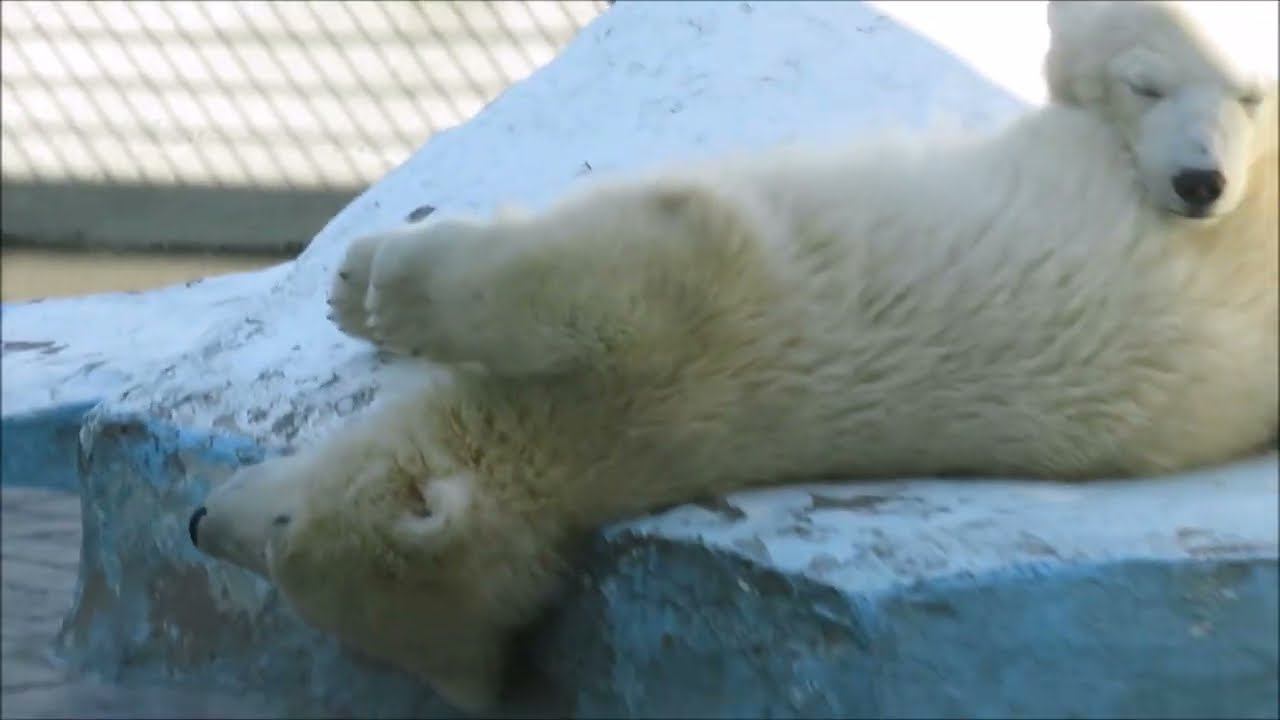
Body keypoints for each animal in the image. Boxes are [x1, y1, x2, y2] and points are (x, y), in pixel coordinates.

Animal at [189, 1, 1278, 713]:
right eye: (283, 578)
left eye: (280, 540)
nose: (198, 522)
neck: (587, 452)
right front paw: (358, 284)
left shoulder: (688, 324)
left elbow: (622, 256)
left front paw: (381, 278)